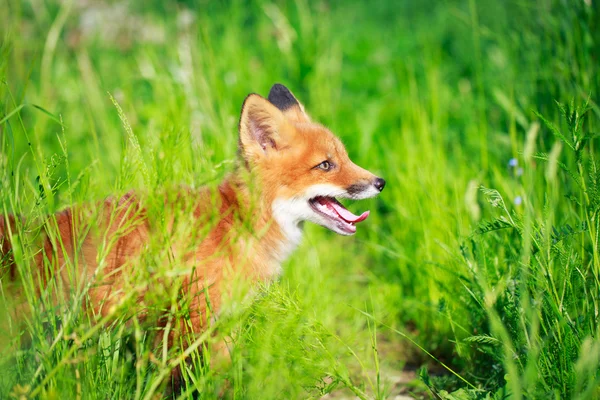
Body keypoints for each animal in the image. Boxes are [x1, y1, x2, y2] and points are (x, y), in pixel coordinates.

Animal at [0, 83, 384, 390]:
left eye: (345, 157)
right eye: (326, 165)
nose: (380, 182)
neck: (238, 224)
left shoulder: (216, 327)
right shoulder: (188, 326)